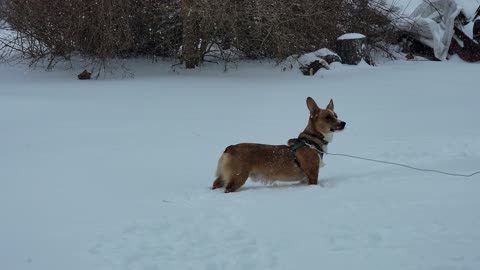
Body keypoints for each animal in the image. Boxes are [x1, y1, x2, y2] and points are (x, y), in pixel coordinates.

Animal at [211, 97, 344, 192]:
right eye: (328, 117)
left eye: (336, 115)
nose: (344, 123)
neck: (311, 141)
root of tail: (230, 148)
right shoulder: (312, 174)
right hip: (238, 177)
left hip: (224, 177)